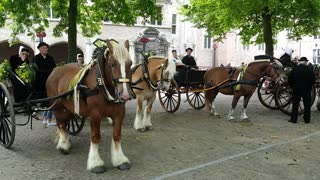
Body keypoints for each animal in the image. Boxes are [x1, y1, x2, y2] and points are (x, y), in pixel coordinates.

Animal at [46, 39, 132, 173]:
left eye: (130, 63)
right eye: (112, 64)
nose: (125, 95)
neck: (101, 84)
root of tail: (55, 70)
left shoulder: (119, 113)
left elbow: (117, 135)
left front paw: (120, 160)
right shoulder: (95, 115)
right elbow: (95, 137)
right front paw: (95, 163)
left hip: (69, 107)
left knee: (65, 122)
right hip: (58, 107)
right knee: (61, 125)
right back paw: (63, 145)